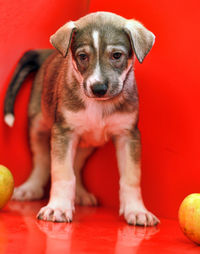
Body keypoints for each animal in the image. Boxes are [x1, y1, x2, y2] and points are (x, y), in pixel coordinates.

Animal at [3, 11, 159, 226]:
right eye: (83, 56)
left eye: (116, 55)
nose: (98, 88)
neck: (99, 105)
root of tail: (47, 54)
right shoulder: (64, 132)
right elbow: (62, 172)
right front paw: (58, 207)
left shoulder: (128, 135)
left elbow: (131, 177)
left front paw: (137, 210)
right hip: (38, 126)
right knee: (42, 161)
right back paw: (30, 188)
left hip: (88, 143)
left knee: (76, 164)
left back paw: (80, 194)